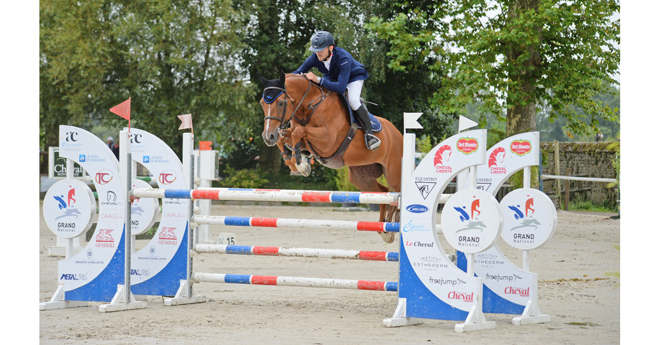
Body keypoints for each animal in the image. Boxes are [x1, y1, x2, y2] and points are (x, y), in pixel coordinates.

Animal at [256, 70, 402, 242]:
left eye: (280, 103)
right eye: (262, 103)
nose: (267, 137)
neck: (309, 105)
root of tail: (397, 133)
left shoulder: (327, 140)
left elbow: (299, 132)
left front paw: (301, 165)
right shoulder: (302, 138)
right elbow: (287, 137)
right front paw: (297, 164)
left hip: (393, 174)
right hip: (361, 176)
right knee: (383, 192)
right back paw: (384, 231)